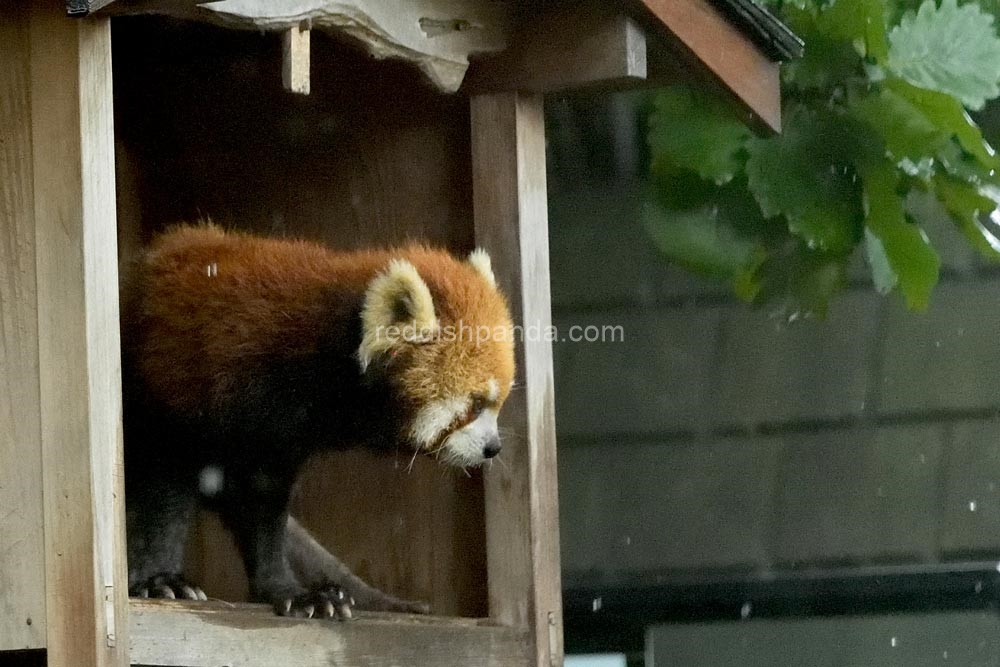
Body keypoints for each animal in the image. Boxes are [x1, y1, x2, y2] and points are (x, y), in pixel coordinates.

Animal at [122, 226, 516, 620]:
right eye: (475, 404)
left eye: (497, 404)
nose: (493, 448)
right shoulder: (178, 384)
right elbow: (163, 500)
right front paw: (161, 579)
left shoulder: (273, 442)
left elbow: (263, 514)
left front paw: (288, 591)